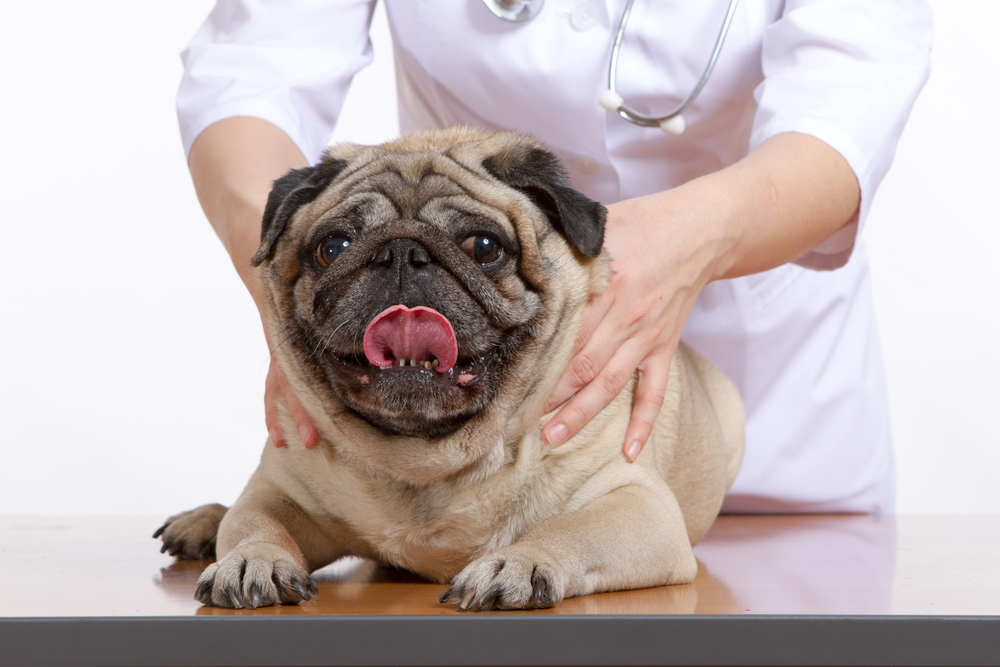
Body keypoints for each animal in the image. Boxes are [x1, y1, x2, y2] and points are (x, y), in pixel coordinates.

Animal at [156, 125, 744, 612]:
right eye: (334, 246)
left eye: (484, 247)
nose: (400, 253)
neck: (430, 460)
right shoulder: (281, 491)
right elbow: (256, 521)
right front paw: (250, 559)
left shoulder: (638, 507)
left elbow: (568, 532)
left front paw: (518, 562)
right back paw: (204, 521)